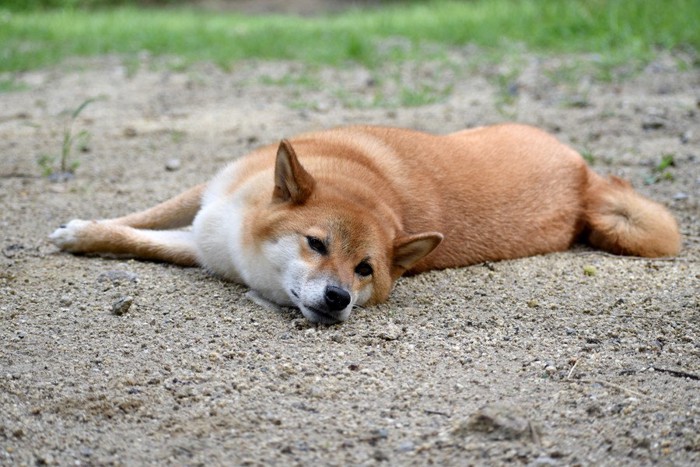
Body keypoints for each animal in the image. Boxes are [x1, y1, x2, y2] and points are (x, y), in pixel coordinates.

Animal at [50, 122, 684, 324]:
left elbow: (149, 240)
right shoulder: (206, 207)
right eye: (315, 243)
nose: (337, 299)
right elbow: (140, 222)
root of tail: (584, 180)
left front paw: (82, 233)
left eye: (364, 271)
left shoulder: (209, 244)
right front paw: (83, 231)